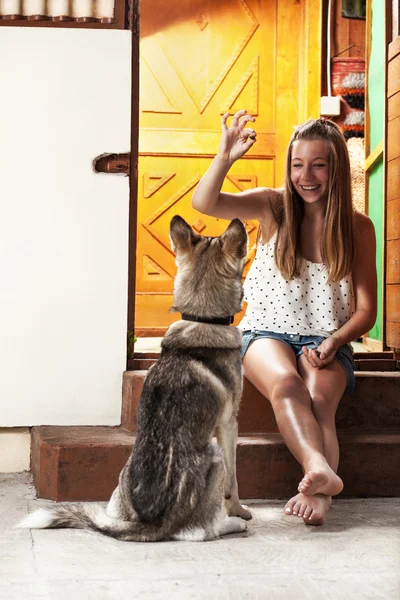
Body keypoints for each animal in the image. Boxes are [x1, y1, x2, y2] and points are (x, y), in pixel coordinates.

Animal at [18, 217, 252, 544]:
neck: (202, 319)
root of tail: (151, 524)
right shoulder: (229, 425)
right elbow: (235, 483)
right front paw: (240, 511)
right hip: (215, 456)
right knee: (199, 532)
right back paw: (233, 524)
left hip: (121, 479)